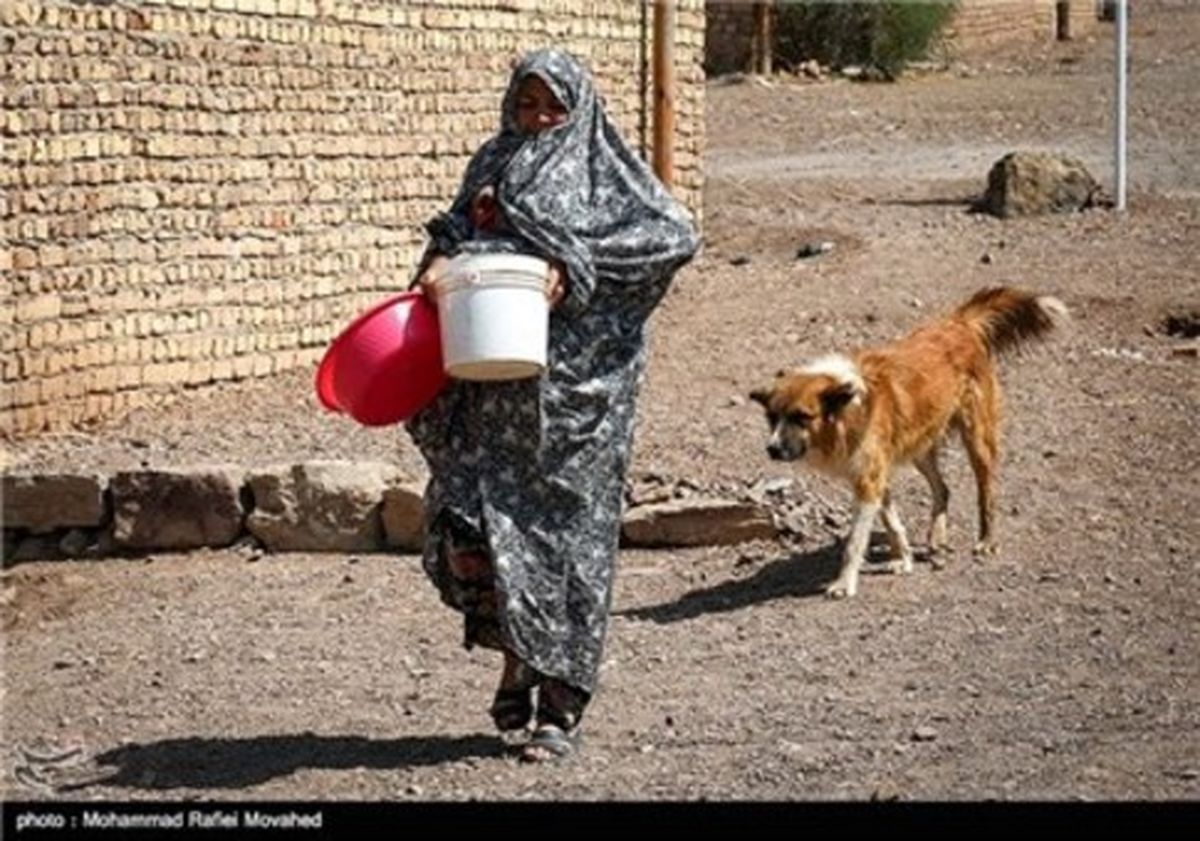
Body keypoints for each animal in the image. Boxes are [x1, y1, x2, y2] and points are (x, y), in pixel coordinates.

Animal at [748, 286, 1070, 597]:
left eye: (802, 417)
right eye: (771, 418)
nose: (772, 449)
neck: (847, 411)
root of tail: (959, 322)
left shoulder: (868, 481)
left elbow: (854, 542)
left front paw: (844, 583)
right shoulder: (875, 476)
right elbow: (892, 524)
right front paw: (903, 558)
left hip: (976, 437)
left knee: (986, 491)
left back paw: (986, 540)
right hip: (920, 446)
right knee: (943, 489)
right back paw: (937, 537)